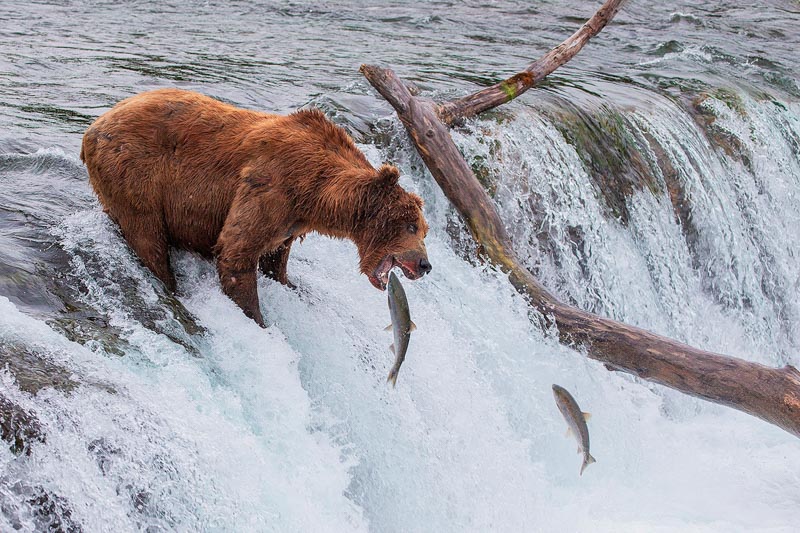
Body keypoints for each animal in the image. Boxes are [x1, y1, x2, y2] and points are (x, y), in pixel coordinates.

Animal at [80, 89, 431, 327]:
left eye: (424, 229)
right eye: (410, 226)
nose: (425, 264)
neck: (318, 194)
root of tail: (92, 127)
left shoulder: (290, 220)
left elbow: (275, 257)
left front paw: (288, 283)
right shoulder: (271, 186)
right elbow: (236, 251)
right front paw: (257, 318)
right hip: (135, 173)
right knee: (147, 236)